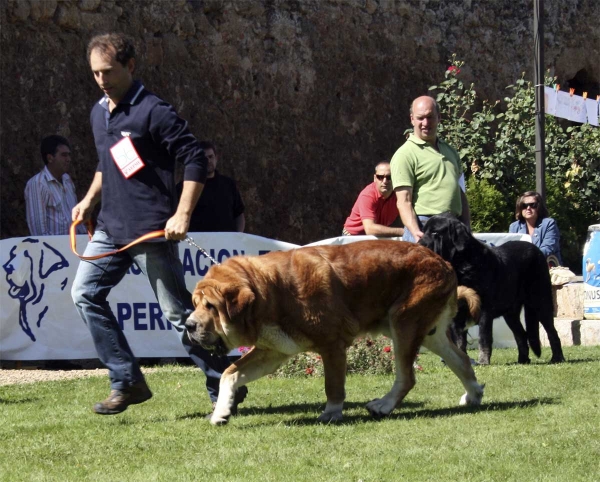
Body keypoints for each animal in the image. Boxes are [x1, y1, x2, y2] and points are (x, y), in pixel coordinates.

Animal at [420, 215, 564, 366]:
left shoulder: (484, 311)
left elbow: (484, 338)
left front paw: (483, 360)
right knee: (521, 334)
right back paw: (523, 360)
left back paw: (557, 358)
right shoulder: (457, 314)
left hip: (540, 302)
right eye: (423, 231)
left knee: (552, 332)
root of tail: (537, 250)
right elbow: (459, 341)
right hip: (510, 313)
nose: (420, 243)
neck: (462, 266)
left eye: (435, 232)